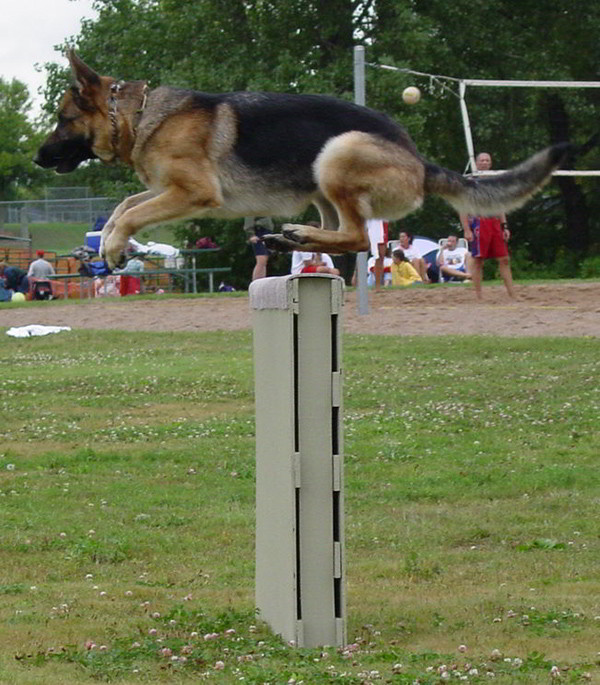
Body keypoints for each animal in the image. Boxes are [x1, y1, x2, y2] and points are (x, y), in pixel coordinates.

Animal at [36, 50, 572, 270]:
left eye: (62, 119)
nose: (38, 158)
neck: (140, 114)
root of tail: (418, 160)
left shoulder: (191, 193)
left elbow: (134, 212)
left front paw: (111, 246)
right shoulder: (165, 189)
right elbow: (125, 204)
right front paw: (106, 240)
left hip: (337, 154)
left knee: (358, 238)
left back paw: (297, 234)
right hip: (321, 188)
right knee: (345, 237)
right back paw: (294, 235)